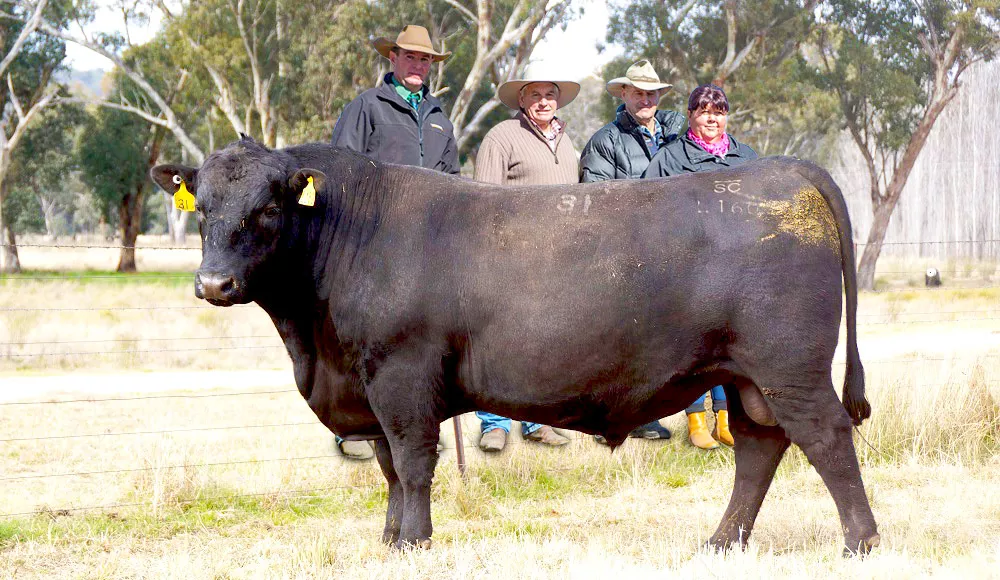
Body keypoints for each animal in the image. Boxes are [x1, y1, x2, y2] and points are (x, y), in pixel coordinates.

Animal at [151, 136, 880, 555]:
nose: (213, 284)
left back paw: (861, 542)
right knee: (759, 447)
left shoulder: (402, 376)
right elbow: (387, 467)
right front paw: (389, 539)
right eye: (202, 206)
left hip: (789, 366)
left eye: (269, 207)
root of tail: (785, 172)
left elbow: (413, 463)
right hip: (746, 373)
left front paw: (415, 543)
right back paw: (722, 542)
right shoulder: (369, 383)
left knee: (824, 437)